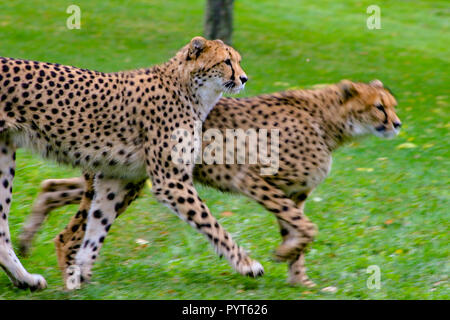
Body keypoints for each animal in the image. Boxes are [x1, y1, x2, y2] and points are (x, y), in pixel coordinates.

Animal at [0, 37, 260, 290]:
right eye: (226, 62)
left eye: (238, 61)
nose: (244, 78)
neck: (188, 89)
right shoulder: (170, 181)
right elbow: (211, 224)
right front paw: (246, 263)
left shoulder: (115, 178)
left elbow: (98, 225)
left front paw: (78, 273)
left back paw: (26, 279)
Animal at [17, 79, 400, 286]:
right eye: (379, 107)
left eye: (393, 105)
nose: (397, 124)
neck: (328, 120)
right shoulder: (252, 178)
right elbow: (307, 229)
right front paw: (283, 257)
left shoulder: (295, 194)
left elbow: (299, 232)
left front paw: (300, 280)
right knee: (67, 234)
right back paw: (69, 274)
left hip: (129, 180)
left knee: (52, 187)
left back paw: (27, 241)